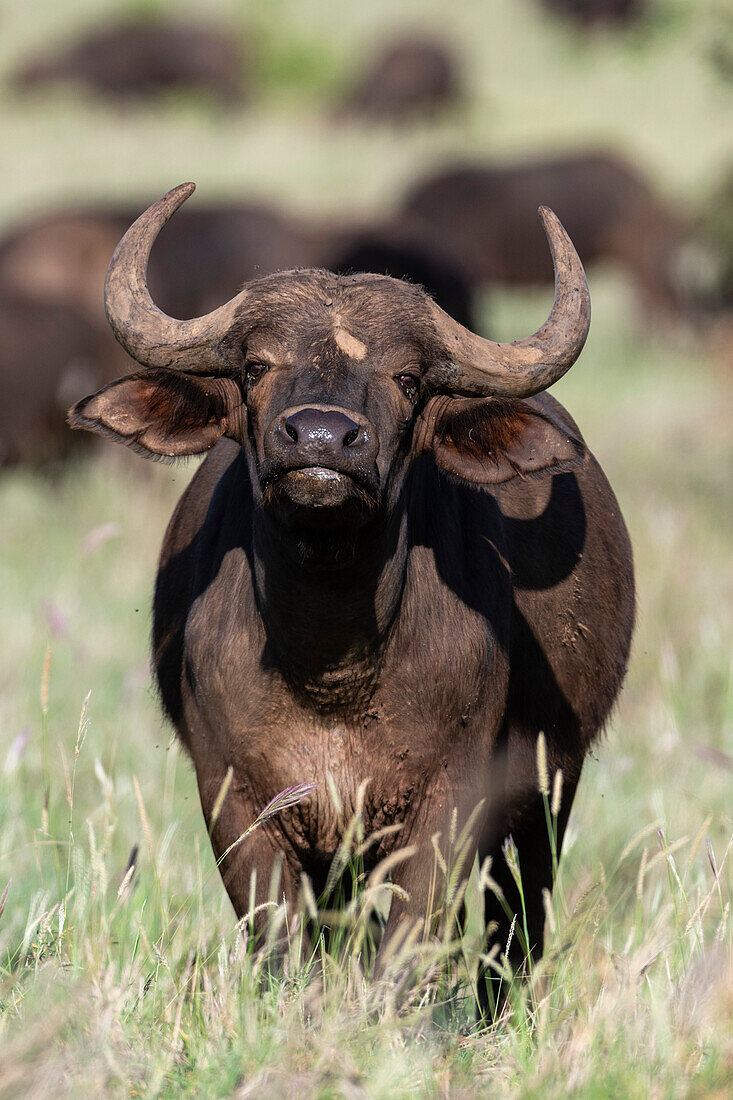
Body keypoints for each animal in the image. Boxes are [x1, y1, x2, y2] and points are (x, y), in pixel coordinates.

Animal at [67, 182, 633, 1012]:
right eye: (256, 365)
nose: (321, 441)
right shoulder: (237, 801)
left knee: (513, 923)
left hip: (549, 793)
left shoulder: (448, 804)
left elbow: (410, 944)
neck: (330, 664)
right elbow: (281, 943)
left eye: (408, 379)